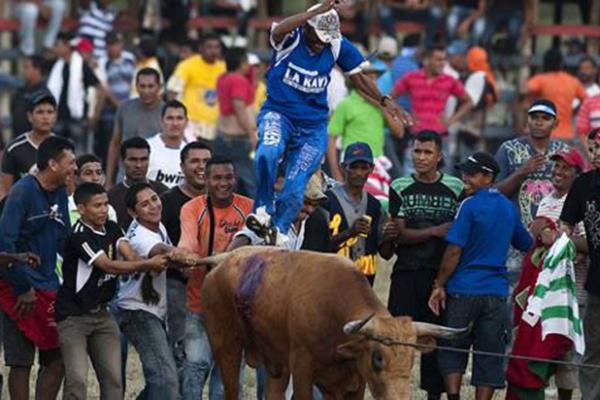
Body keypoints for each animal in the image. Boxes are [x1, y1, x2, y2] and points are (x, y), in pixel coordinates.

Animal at [199, 245, 466, 398]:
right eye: (378, 358)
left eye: (411, 360)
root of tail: (225, 260)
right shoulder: (303, 369)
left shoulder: (354, 381)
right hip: (227, 348)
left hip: (276, 364)